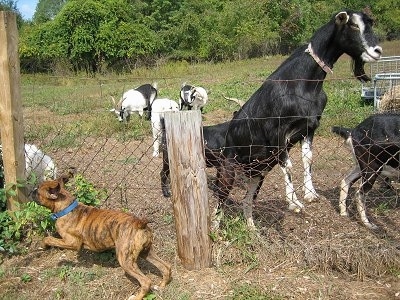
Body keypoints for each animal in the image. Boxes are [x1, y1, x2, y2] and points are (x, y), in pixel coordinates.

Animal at [33, 172, 171, 298]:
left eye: (38, 191)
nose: (31, 191)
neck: (66, 207)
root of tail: (139, 223)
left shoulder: (71, 243)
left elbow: (48, 238)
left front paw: (45, 246)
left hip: (126, 260)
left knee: (146, 281)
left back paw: (136, 296)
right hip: (146, 252)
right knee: (166, 267)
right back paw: (162, 286)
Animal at [214, 10, 382, 229]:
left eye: (369, 23)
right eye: (353, 25)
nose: (377, 50)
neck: (303, 84)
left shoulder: (309, 127)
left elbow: (307, 158)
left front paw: (310, 193)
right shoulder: (277, 131)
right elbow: (288, 164)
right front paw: (294, 202)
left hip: (257, 173)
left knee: (247, 199)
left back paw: (251, 228)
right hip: (228, 168)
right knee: (220, 198)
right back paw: (214, 229)